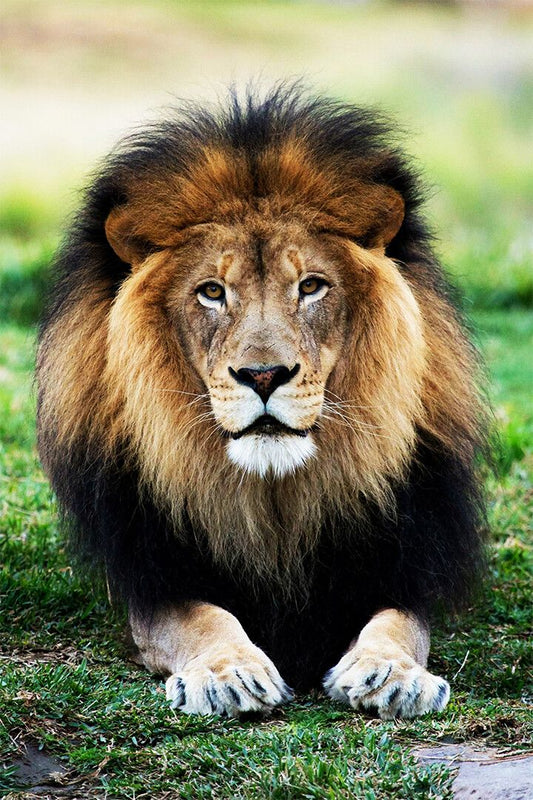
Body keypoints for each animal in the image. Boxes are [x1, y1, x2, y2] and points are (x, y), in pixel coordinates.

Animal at [37, 86, 486, 719]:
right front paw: (229, 673)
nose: (264, 375)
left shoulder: (400, 559)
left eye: (312, 286)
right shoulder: (157, 577)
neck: (274, 495)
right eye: (211, 292)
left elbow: (399, 623)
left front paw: (391, 674)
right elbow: (202, 619)